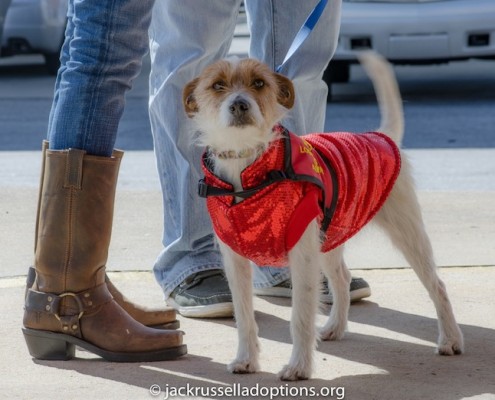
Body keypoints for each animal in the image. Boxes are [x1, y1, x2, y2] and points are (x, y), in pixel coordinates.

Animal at [183, 51, 464, 380]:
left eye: (259, 83)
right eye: (218, 85)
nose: (239, 104)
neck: (247, 166)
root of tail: (380, 136)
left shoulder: (302, 256)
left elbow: (301, 316)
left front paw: (299, 366)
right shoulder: (236, 261)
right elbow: (244, 316)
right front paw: (246, 359)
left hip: (408, 233)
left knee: (437, 285)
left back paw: (450, 339)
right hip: (330, 237)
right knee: (342, 278)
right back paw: (335, 327)